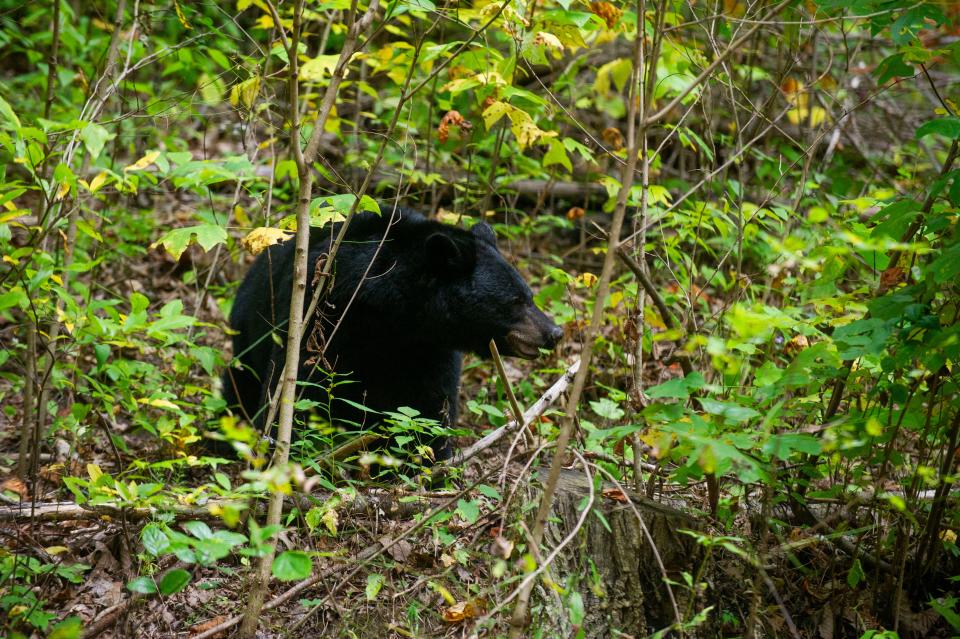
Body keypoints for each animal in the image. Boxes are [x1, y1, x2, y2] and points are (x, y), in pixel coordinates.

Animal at [220, 208, 560, 462]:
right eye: (516, 300)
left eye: (528, 295)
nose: (554, 332)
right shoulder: (323, 313)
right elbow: (300, 383)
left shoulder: (428, 347)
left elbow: (432, 399)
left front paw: (431, 457)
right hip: (246, 340)